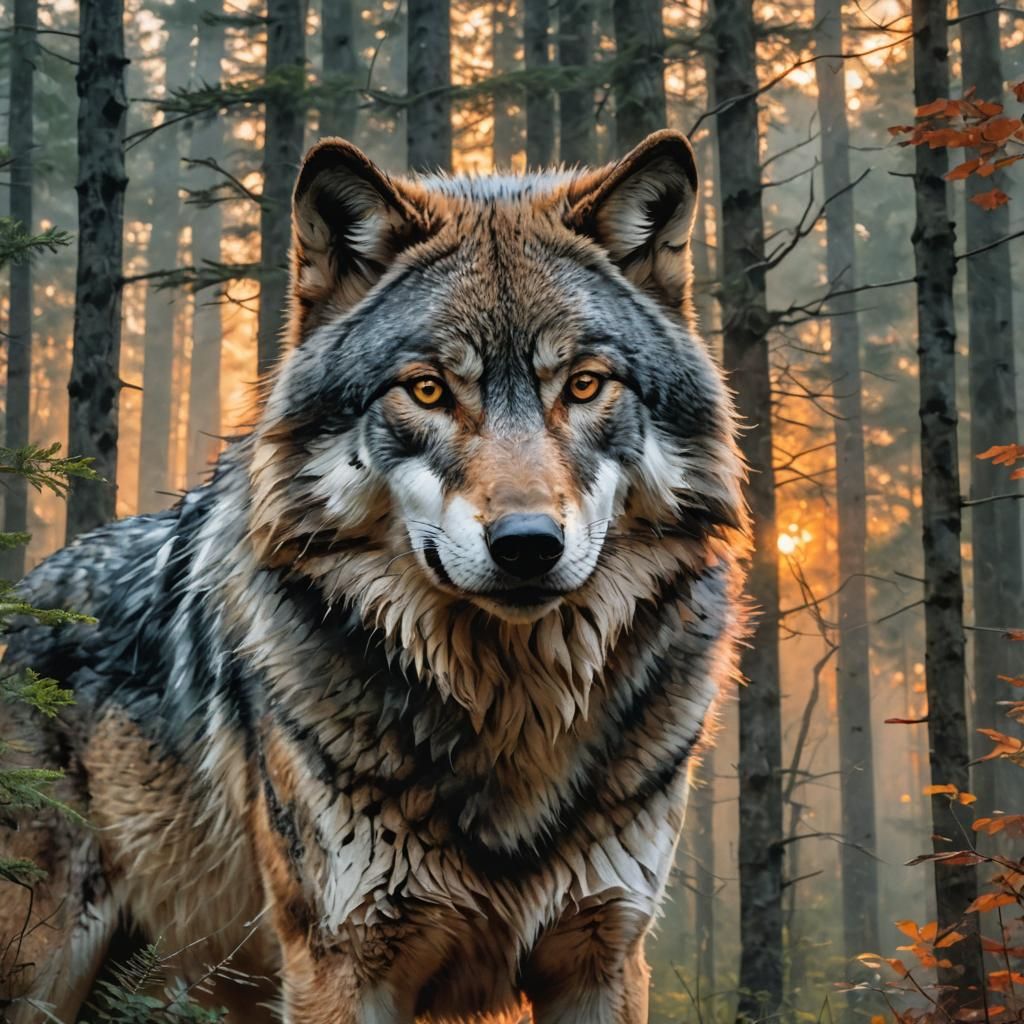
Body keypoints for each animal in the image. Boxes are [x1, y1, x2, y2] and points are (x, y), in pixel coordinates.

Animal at [1, 129, 747, 1024]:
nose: (527, 544)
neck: (511, 718)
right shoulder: (342, 959)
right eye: (427, 389)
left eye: (584, 385)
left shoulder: (602, 954)